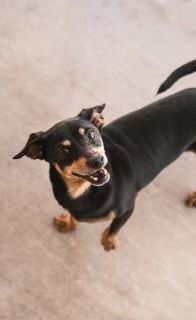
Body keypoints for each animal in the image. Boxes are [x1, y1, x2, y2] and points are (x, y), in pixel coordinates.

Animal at [13, 61, 196, 250]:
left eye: (91, 133)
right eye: (63, 150)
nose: (98, 160)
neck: (80, 190)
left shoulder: (127, 208)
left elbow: (115, 226)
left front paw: (109, 240)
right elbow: (72, 215)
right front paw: (69, 224)